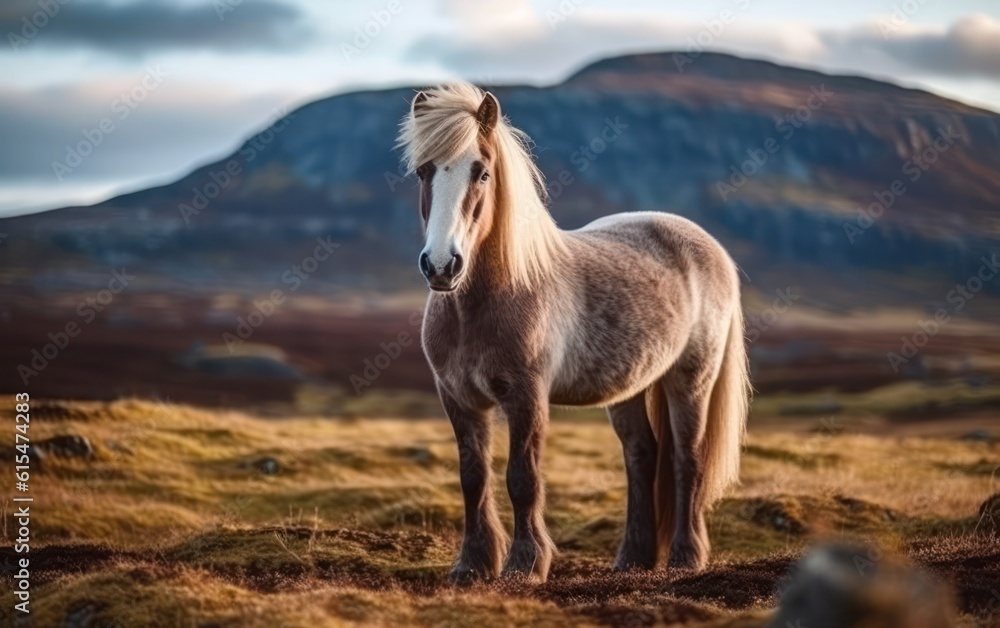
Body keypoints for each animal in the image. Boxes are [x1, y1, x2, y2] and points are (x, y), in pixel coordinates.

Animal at [398, 83, 752, 584]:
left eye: (482, 172)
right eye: (423, 171)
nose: (442, 265)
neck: (480, 304)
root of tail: (708, 245)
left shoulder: (526, 396)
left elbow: (522, 477)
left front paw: (525, 564)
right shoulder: (459, 399)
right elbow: (473, 476)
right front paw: (472, 564)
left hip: (691, 379)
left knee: (688, 458)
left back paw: (685, 556)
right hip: (631, 387)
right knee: (642, 455)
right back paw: (633, 558)